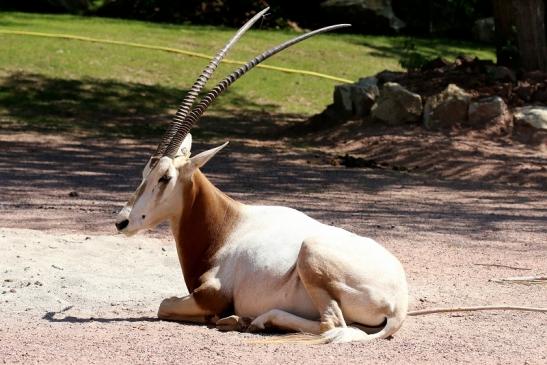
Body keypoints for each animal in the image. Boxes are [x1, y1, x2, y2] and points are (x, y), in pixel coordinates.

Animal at [114, 9, 406, 344]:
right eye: (145, 172)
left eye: (165, 178)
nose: (122, 222)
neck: (227, 225)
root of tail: (399, 305)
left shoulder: (212, 295)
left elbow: (164, 304)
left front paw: (225, 317)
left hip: (311, 253)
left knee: (330, 324)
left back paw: (255, 320)